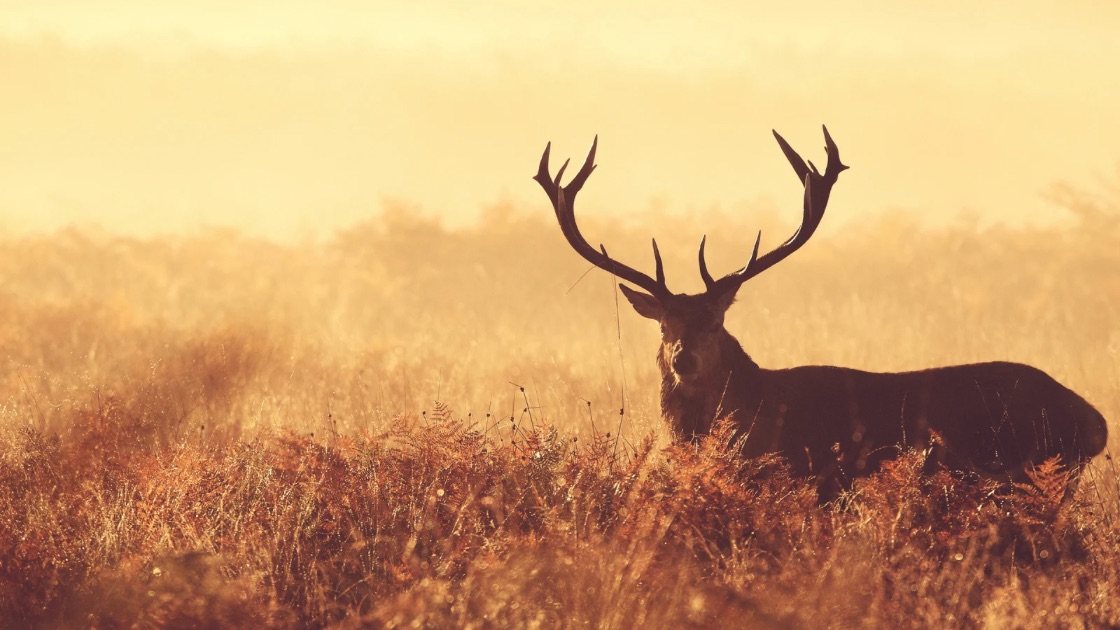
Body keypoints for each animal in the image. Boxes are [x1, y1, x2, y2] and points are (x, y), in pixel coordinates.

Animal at [535, 124, 1111, 497]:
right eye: (664, 324)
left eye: (716, 322)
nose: (683, 358)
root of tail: (1096, 422)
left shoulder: (814, 478)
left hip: (1032, 471)